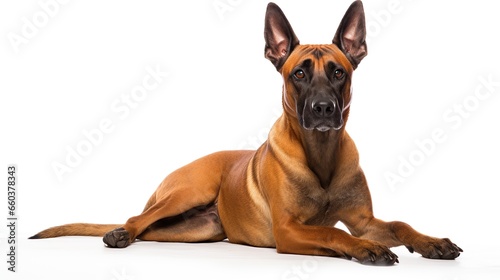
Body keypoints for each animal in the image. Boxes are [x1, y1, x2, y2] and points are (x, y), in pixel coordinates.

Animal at [30, 1, 460, 264]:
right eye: (298, 74)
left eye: (339, 72)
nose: (323, 109)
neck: (320, 153)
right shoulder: (288, 231)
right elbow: (334, 235)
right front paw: (362, 249)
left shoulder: (363, 219)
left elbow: (398, 225)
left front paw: (431, 242)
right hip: (188, 191)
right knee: (137, 217)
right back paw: (119, 234)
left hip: (195, 231)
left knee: (150, 230)